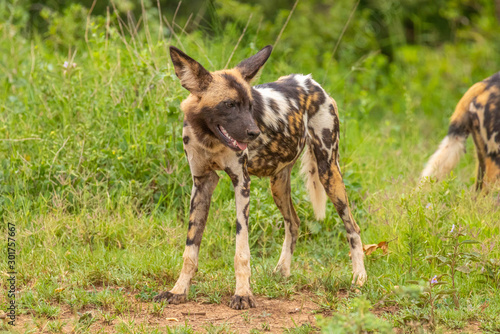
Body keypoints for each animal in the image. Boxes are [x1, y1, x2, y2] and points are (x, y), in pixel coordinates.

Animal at [156, 45, 368, 310]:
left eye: (250, 106)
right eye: (229, 104)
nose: (254, 132)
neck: (210, 138)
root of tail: (311, 82)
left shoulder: (241, 183)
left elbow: (241, 251)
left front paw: (243, 294)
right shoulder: (202, 183)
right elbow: (190, 249)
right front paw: (178, 290)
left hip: (329, 172)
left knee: (353, 227)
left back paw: (359, 278)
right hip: (278, 185)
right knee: (294, 222)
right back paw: (282, 271)